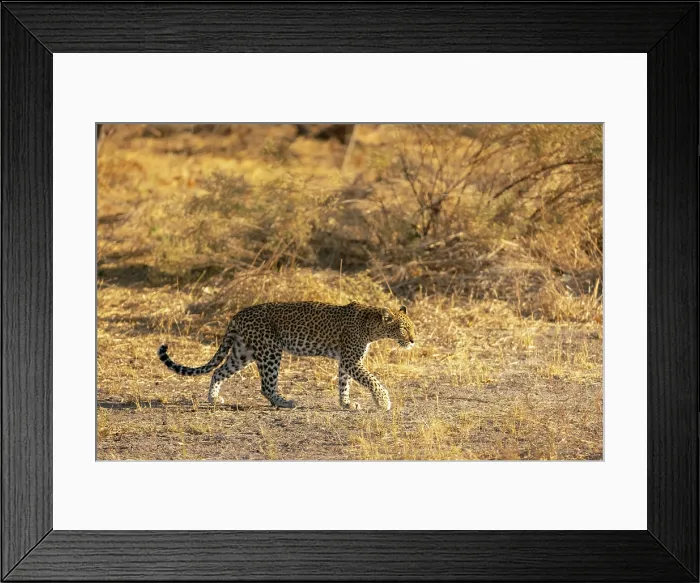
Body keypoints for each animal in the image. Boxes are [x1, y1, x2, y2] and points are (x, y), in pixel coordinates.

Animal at [157, 301, 416, 411]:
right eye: (403, 329)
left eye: (413, 327)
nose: (413, 340)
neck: (372, 327)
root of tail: (237, 315)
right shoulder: (352, 360)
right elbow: (373, 381)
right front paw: (384, 402)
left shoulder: (346, 362)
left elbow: (345, 384)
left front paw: (346, 403)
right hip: (270, 349)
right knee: (265, 386)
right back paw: (284, 402)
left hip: (243, 352)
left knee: (219, 371)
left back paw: (213, 398)